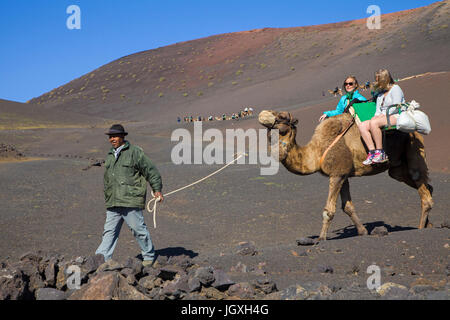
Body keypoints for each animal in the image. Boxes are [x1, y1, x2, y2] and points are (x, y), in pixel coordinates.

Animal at [258, 110, 434, 240]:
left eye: (282, 118)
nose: (263, 115)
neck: (316, 151)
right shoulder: (343, 174)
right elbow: (347, 207)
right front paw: (363, 232)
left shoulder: (337, 173)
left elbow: (329, 210)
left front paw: (321, 239)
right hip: (397, 167)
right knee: (426, 186)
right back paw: (429, 225)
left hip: (413, 148)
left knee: (424, 192)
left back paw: (420, 228)